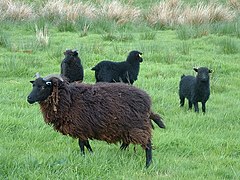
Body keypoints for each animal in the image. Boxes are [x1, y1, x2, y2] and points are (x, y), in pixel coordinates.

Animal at [26, 73, 165, 167]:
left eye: (43, 87)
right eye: (33, 85)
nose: (29, 98)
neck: (69, 98)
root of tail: (147, 100)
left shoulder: (80, 126)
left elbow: (82, 144)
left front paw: (84, 156)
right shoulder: (83, 129)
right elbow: (85, 143)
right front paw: (90, 154)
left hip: (137, 125)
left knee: (147, 144)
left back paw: (148, 164)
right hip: (127, 127)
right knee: (127, 142)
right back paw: (119, 153)